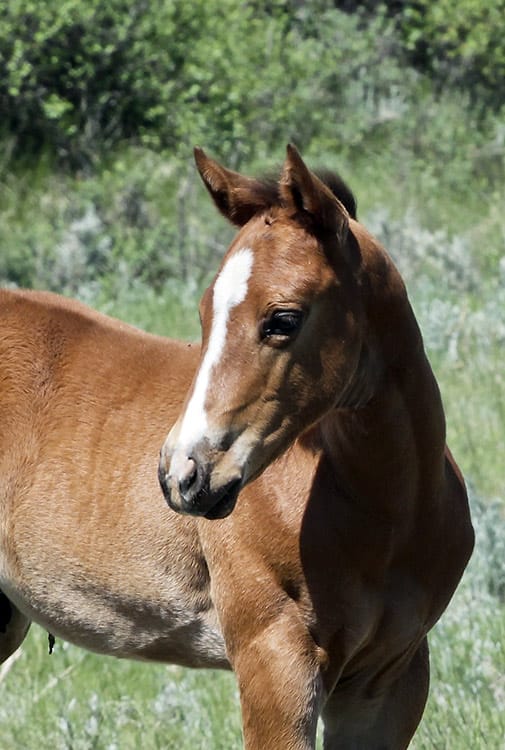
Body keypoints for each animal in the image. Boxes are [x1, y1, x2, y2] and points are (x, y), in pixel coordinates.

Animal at [0, 145, 472, 748]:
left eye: (284, 318)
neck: (390, 514)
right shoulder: (276, 660)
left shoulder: (390, 681)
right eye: (204, 313)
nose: (182, 474)